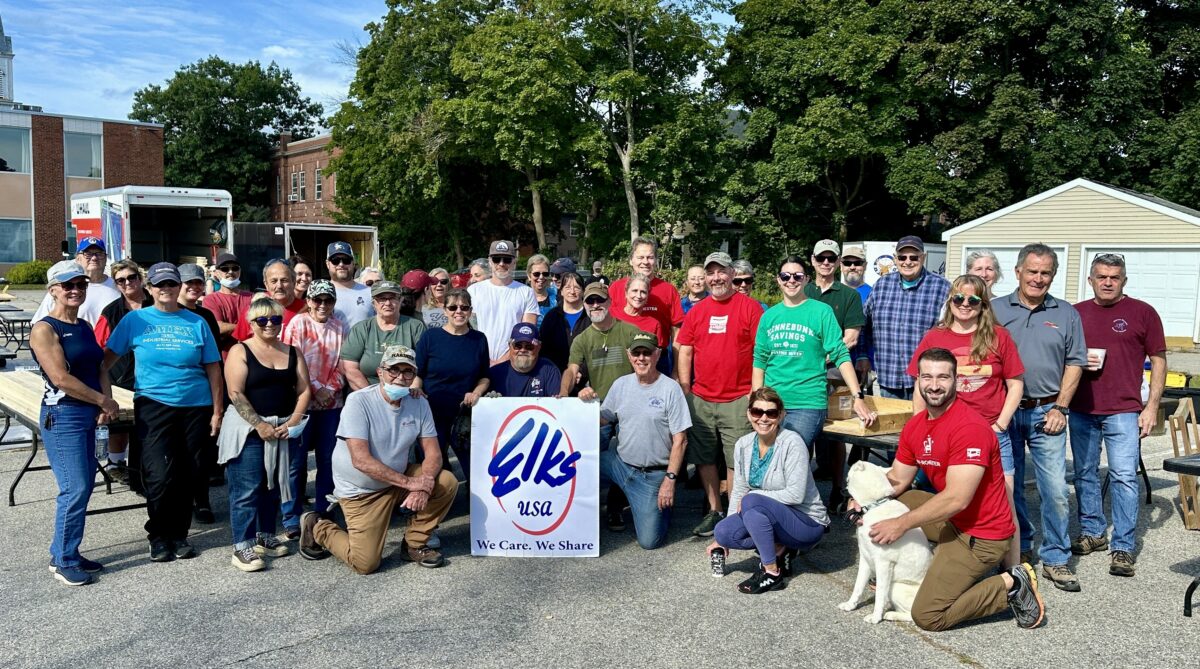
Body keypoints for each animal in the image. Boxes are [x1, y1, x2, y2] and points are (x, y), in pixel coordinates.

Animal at [840, 460, 931, 623]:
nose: (841, 489)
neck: (875, 505)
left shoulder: (883, 564)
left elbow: (879, 595)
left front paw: (876, 617)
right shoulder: (865, 559)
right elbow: (858, 586)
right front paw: (850, 605)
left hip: (896, 587)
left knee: (911, 616)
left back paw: (891, 615)